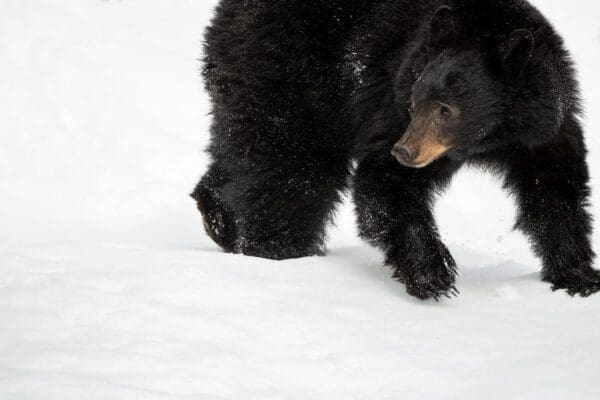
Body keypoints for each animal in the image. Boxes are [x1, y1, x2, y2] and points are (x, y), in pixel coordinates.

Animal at [191, 0, 596, 300]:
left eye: (446, 110)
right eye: (416, 102)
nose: (405, 151)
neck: (486, 140)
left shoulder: (543, 130)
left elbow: (555, 192)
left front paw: (579, 275)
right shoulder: (393, 104)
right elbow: (386, 184)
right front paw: (433, 273)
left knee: (246, 154)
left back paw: (218, 217)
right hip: (287, 70)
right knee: (292, 165)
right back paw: (279, 249)